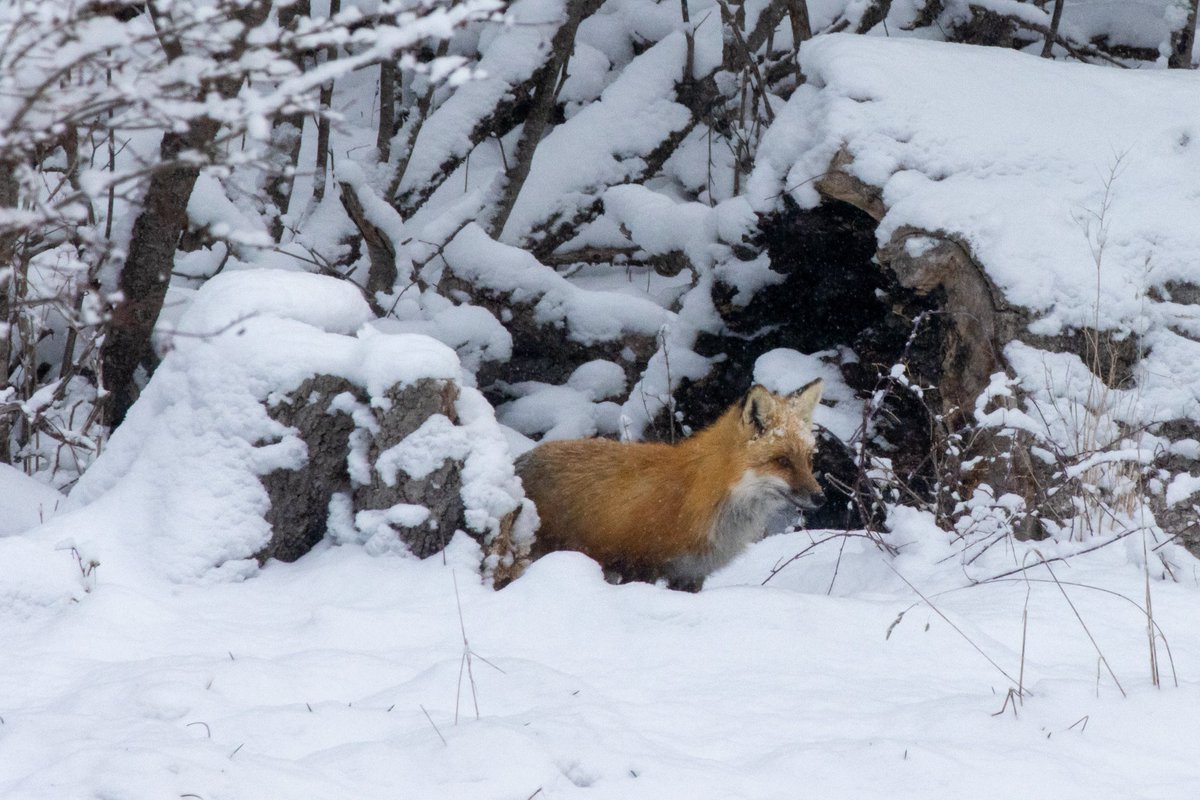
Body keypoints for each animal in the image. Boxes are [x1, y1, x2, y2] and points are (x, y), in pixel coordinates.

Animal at [515, 379, 825, 591]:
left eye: (809, 459)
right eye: (782, 461)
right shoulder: (641, 565)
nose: (820, 498)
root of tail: (521, 460)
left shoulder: (691, 574)